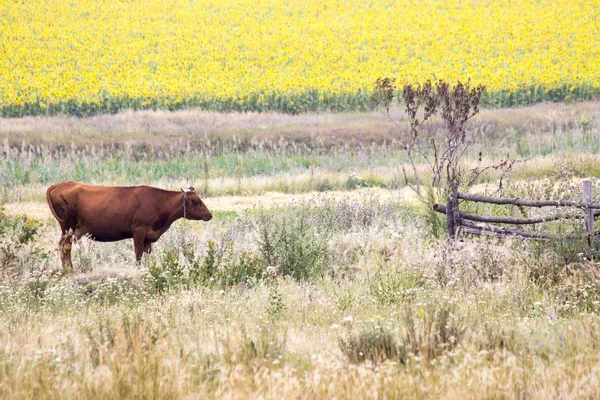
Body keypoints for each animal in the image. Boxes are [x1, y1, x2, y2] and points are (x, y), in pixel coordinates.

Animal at [45, 183, 212, 270]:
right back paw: (69, 269)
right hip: (67, 227)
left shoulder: (149, 236)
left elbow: (147, 254)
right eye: (196, 201)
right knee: (64, 246)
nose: (209, 215)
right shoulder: (139, 231)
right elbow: (138, 253)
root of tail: (60, 185)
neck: (158, 202)